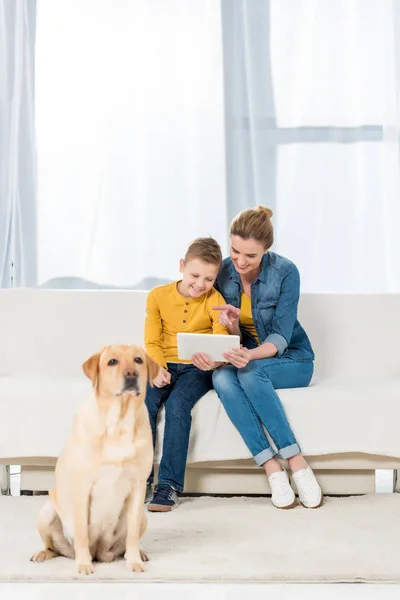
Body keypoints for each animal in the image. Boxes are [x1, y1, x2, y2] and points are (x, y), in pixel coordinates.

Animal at [30, 344, 159, 576]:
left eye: (138, 360)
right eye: (112, 362)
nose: (131, 374)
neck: (119, 424)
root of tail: (100, 552)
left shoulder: (138, 486)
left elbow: (132, 534)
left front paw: (134, 561)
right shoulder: (82, 488)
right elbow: (81, 531)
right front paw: (83, 565)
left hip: (143, 517)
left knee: (126, 543)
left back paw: (139, 553)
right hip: (46, 512)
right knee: (54, 547)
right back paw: (43, 554)